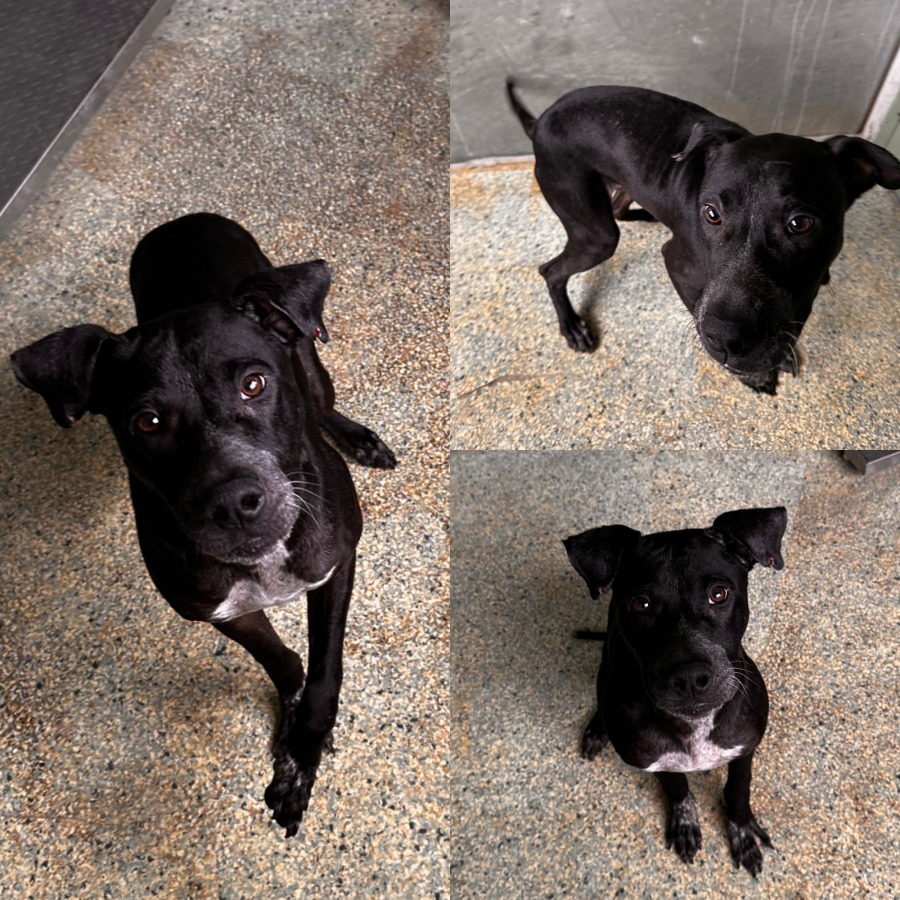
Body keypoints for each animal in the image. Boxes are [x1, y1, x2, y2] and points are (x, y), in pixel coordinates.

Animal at [10, 212, 396, 836]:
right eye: (147, 422)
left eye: (254, 384)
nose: (235, 502)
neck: (266, 562)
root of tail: (183, 220)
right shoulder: (220, 611)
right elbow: (284, 661)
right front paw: (292, 730)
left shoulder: (336, 565)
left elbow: (324, 674)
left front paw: (304, 752)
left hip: (310, 354)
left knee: (321, 397)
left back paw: (358, 436)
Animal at [508, 81, 900, 394]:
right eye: (711, 213)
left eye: (800, 223)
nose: (725, 340)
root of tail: (540, 121)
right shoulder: (678, 266)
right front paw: (754, 374)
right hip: (596, 235)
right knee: (552, 270)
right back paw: (572, 326)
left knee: (617, 209)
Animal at [563, 507, 787, 875]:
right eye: (641, 604)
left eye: (719, 594)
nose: (690, 678)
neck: (694, 725)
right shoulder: (659, 762)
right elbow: (678, 789)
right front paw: (685, 822)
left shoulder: (745, 749)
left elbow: (738, 790)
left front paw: (742, 831)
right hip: (607, 662)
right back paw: (597, 730)